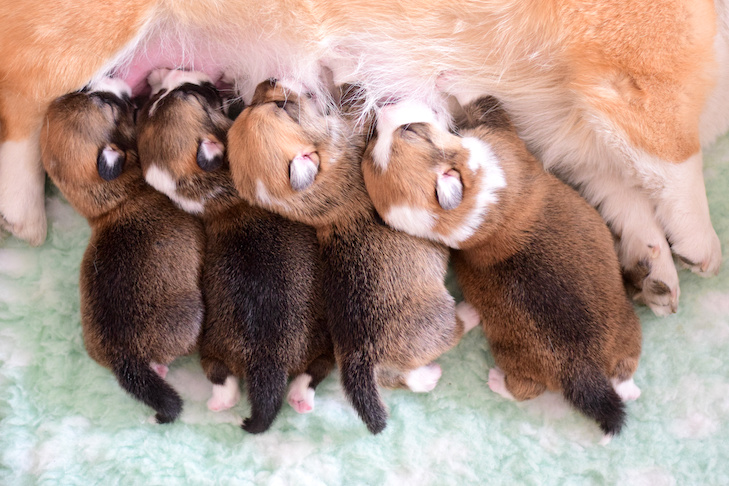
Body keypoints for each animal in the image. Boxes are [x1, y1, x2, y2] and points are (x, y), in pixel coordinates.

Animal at [39, 78, 205, 424]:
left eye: (87, 94)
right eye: (109, 106)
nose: (124, 86)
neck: (116, 199)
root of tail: (125, 359)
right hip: (190, 317)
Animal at [135, 69, 334, 432]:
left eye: (158, 99)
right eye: (195, 94)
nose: (164, 72)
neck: (209, 191)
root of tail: (267, 364)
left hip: (213, 349)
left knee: (222, 381)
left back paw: (220, 403)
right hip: (315, 344)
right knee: (314, 371)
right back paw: (299, 398)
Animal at [225, 81, 478, 434]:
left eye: (272, 104)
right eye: (282, 107)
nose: (269, 80)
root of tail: (362, 355)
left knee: (395, 377)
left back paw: (427, 379)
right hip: (437, 315)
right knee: (449, 333)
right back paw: (469, 316)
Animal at [362, 97, 640, 438]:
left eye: (408, 131)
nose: (380, 109)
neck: (465, 216)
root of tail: (583, 370)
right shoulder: (498, 135)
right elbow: (486, 105)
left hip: (627, 328)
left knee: (624, 370)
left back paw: (628, 389)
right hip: (521, 357)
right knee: (527, 389)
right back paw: (497, 381)